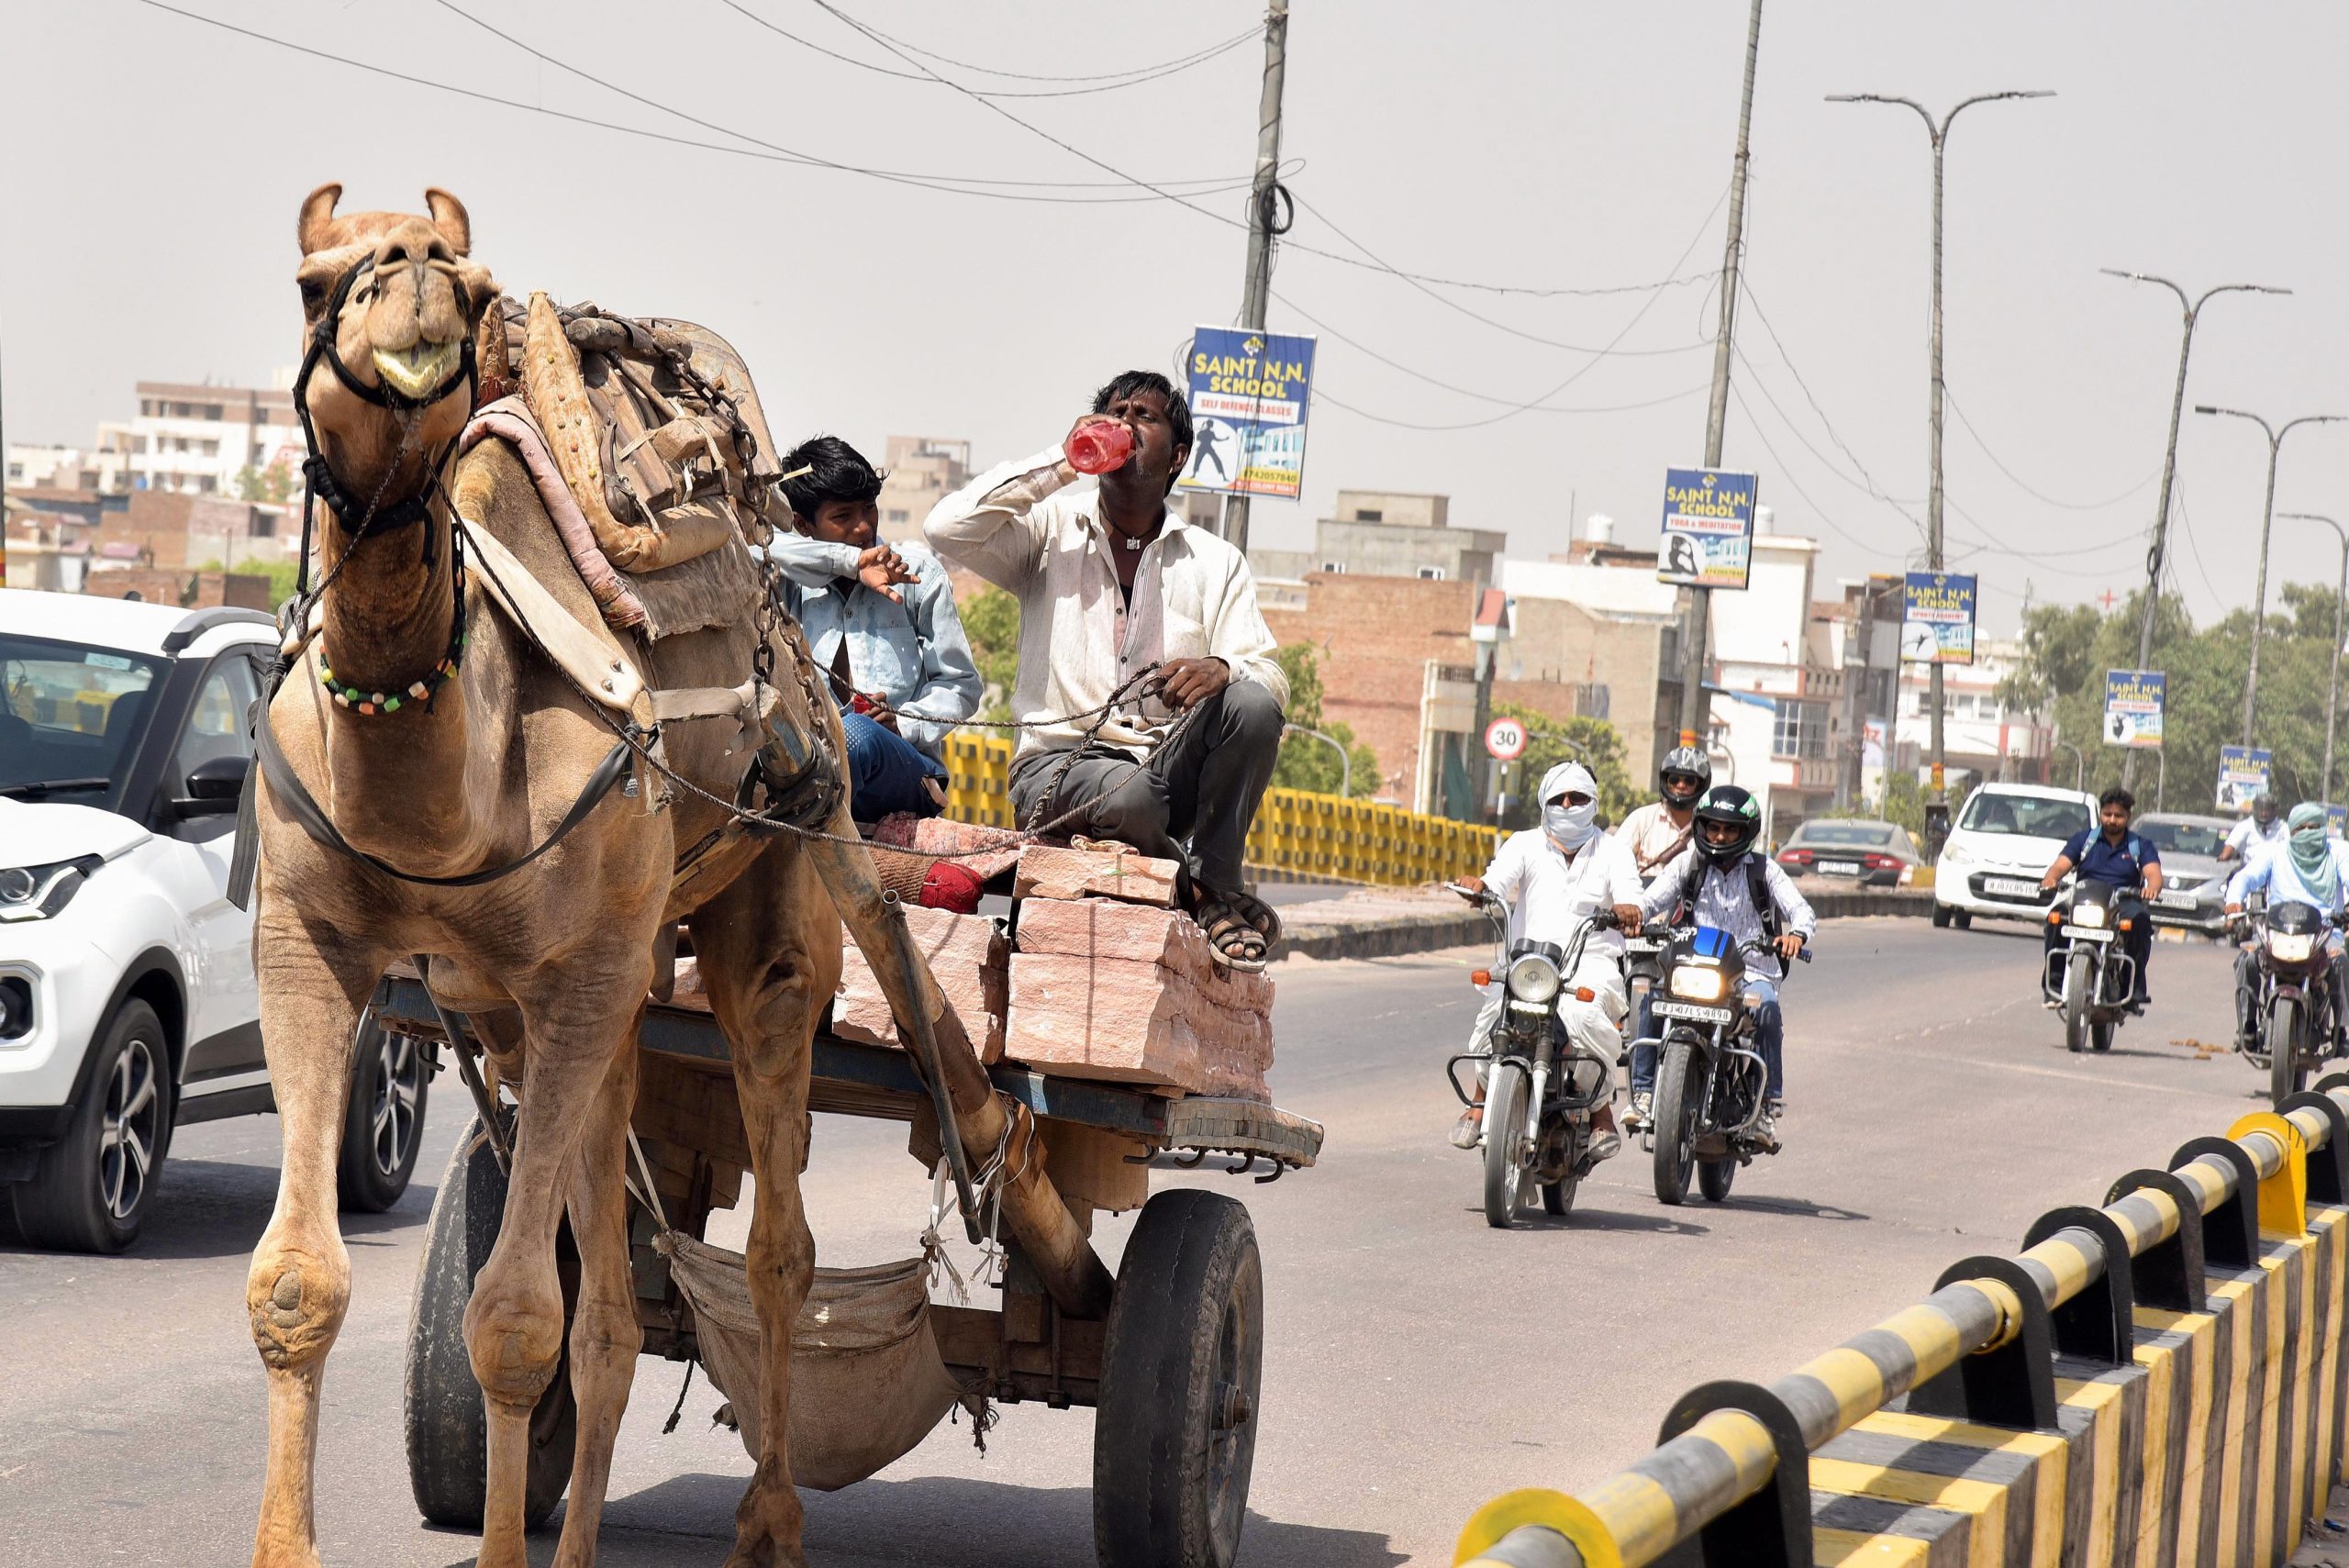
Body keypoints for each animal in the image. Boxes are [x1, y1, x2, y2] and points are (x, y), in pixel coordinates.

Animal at [242, 186, 864, 1568]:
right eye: (312, 284)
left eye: (473, 288)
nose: (417, 272)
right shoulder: (310, 945)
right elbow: (298, 1281)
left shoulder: (577, 972)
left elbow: (515, 1318)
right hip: (573, 1008)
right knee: (618, 1308)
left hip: (767, 909)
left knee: (780, 1242)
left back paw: (772, 1520)